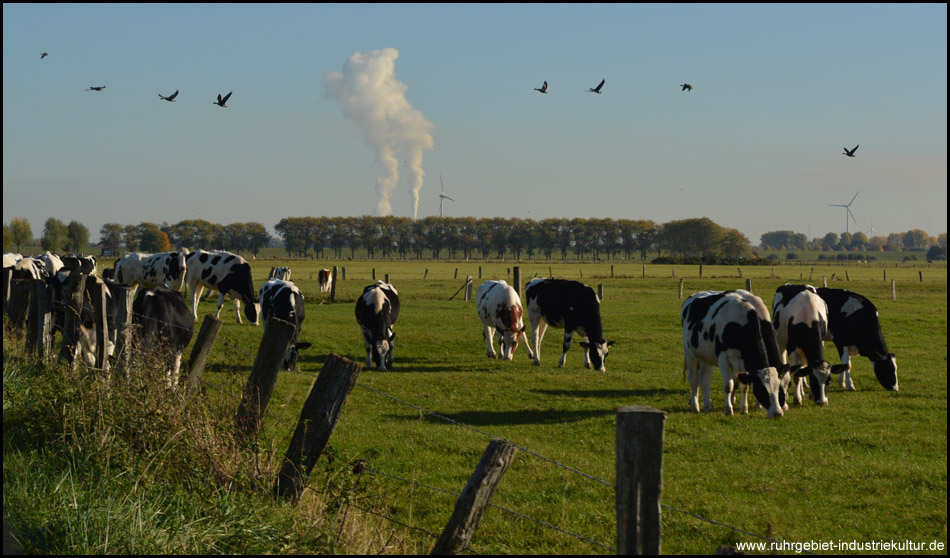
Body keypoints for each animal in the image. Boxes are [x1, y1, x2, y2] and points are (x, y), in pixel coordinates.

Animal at [680, 290, 800, 418]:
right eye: (762, 390)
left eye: (783, 386)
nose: (778, 412)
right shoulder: (723, 358)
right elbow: (728, 385)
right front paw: (728, 409)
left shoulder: (744, 361)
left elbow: (744, 386)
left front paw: (744, 409)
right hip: (689, 353)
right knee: (694, 379)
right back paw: (695, 407)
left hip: (706, 357)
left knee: (705, 379)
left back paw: (708, 406)